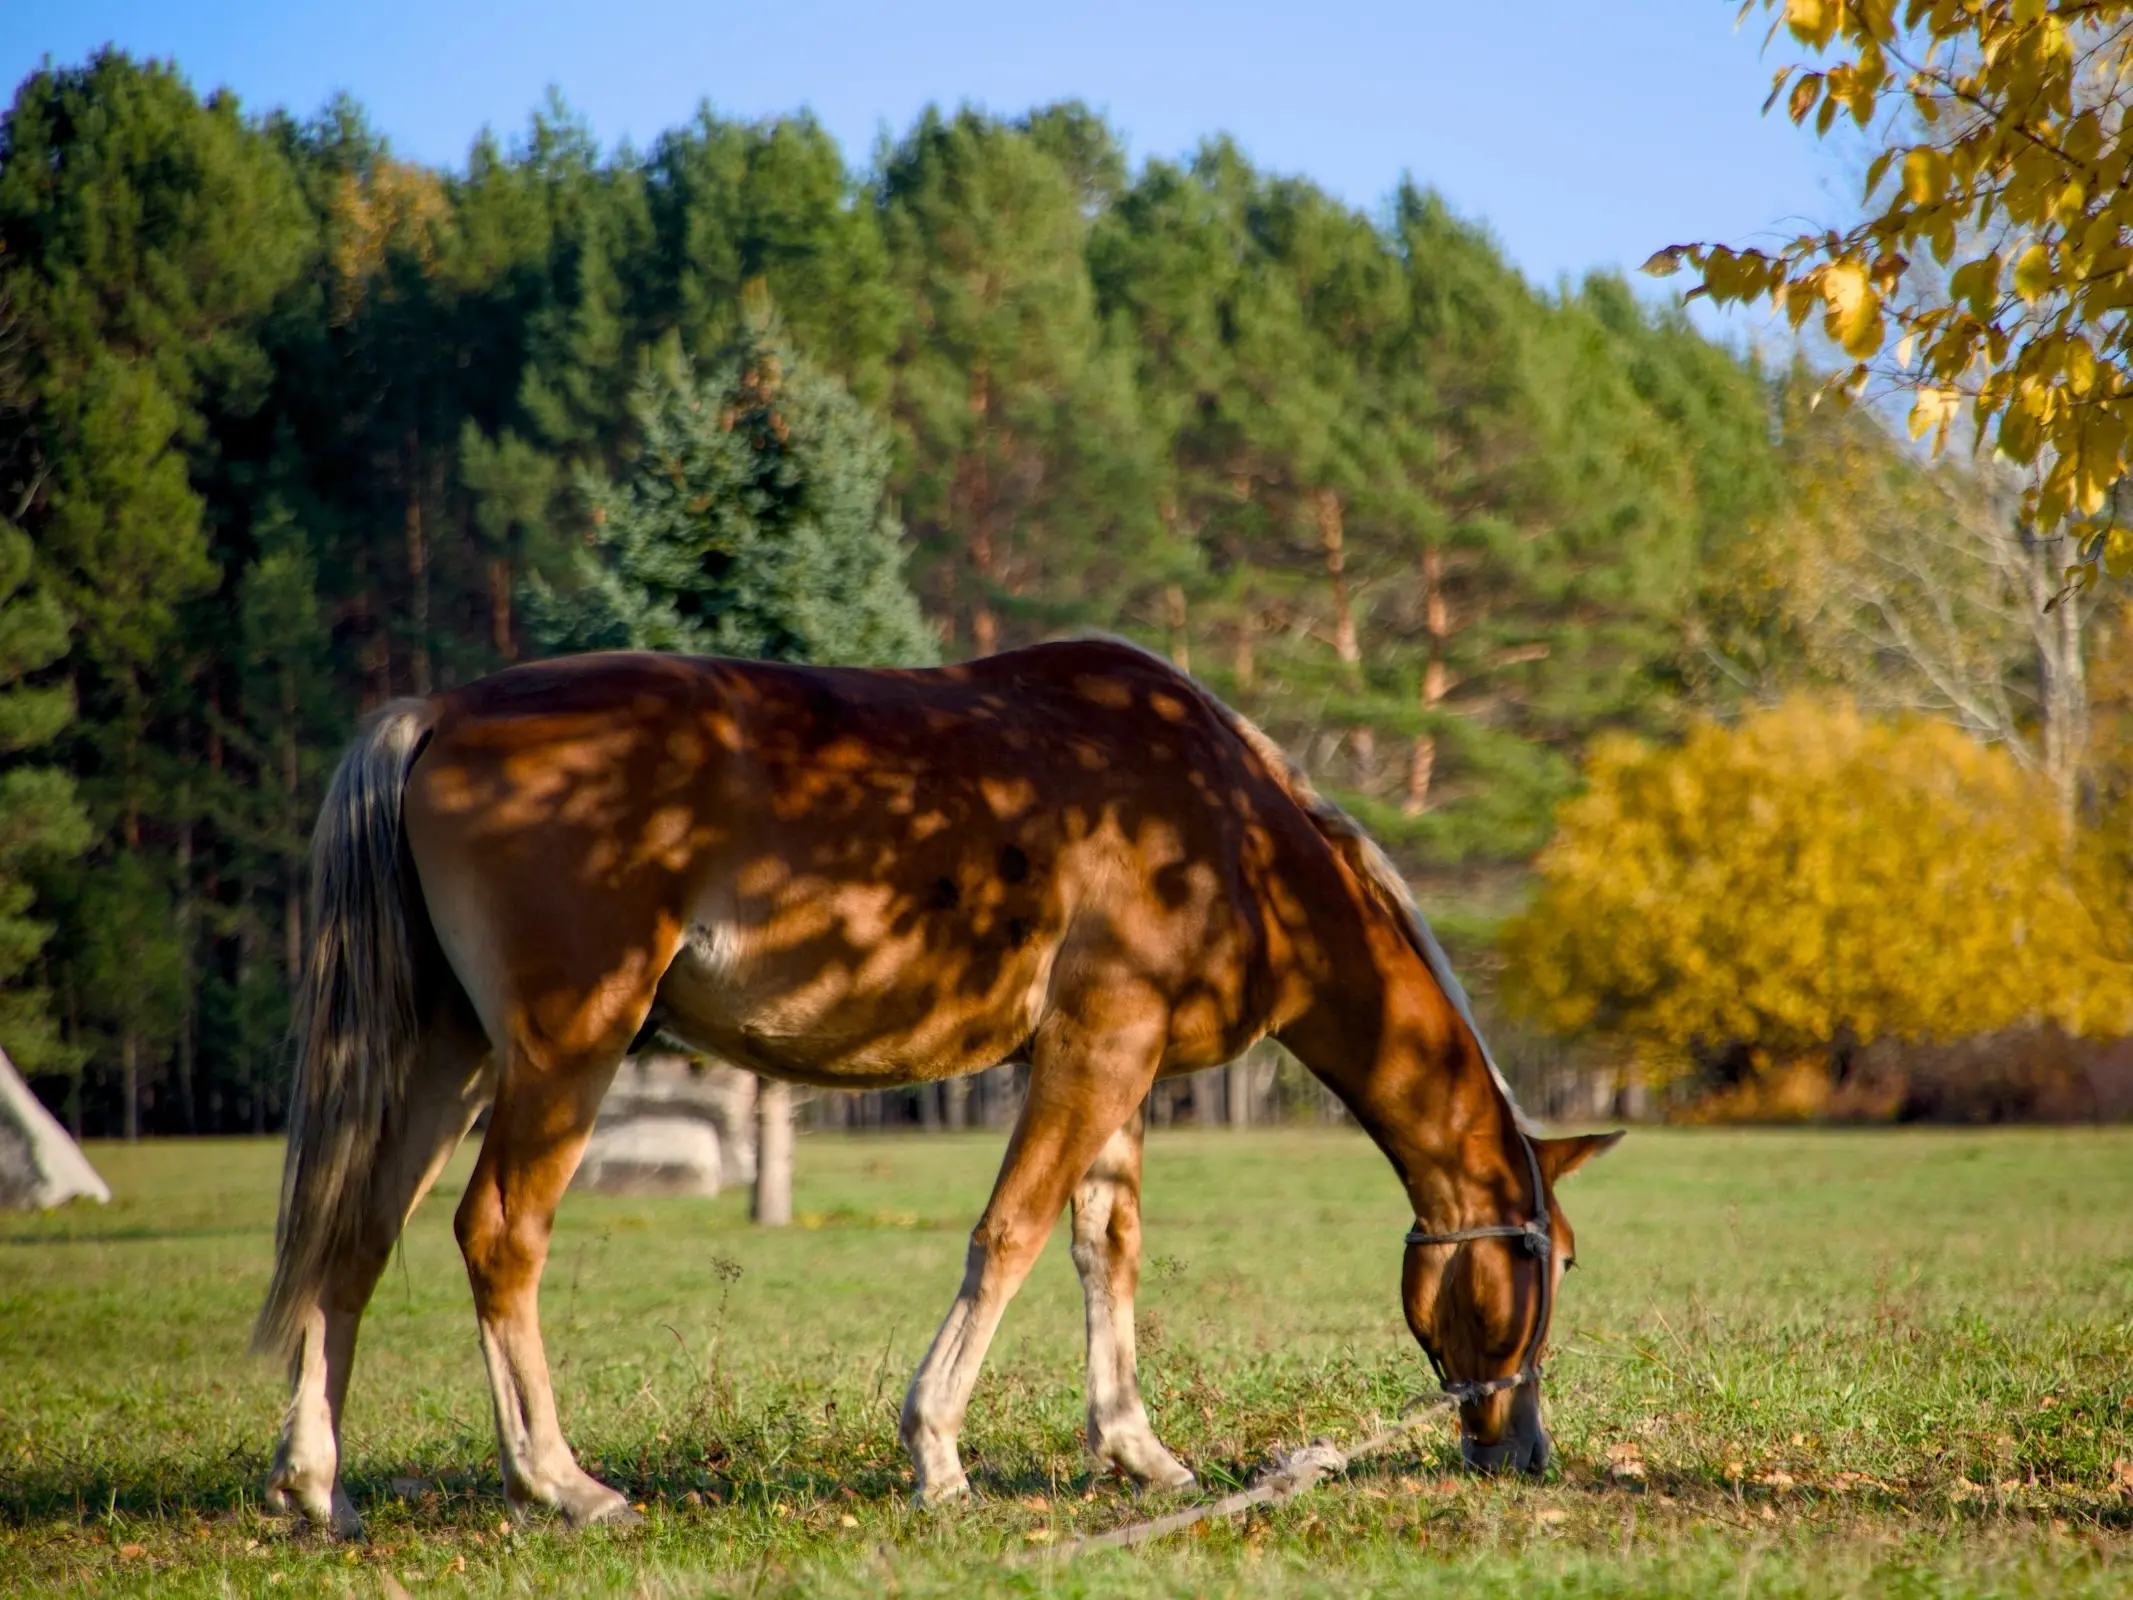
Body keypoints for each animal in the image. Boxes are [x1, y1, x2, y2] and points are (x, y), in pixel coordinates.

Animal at [252, 637, 1619, 1537]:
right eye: (1547, 1259)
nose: (1522, 1447)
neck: (1230, 827)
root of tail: (439, 712)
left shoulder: (1120, 1072)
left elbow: (1104, 1246)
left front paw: (1136, 1449)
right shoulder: (1093, 1051)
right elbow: (1009, 1235)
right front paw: (938, 1453)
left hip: (442, 1052)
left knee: (355, 1234)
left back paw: (321, 1486)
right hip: (565, 1048)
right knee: (497, 1232)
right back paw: (561, 1481)